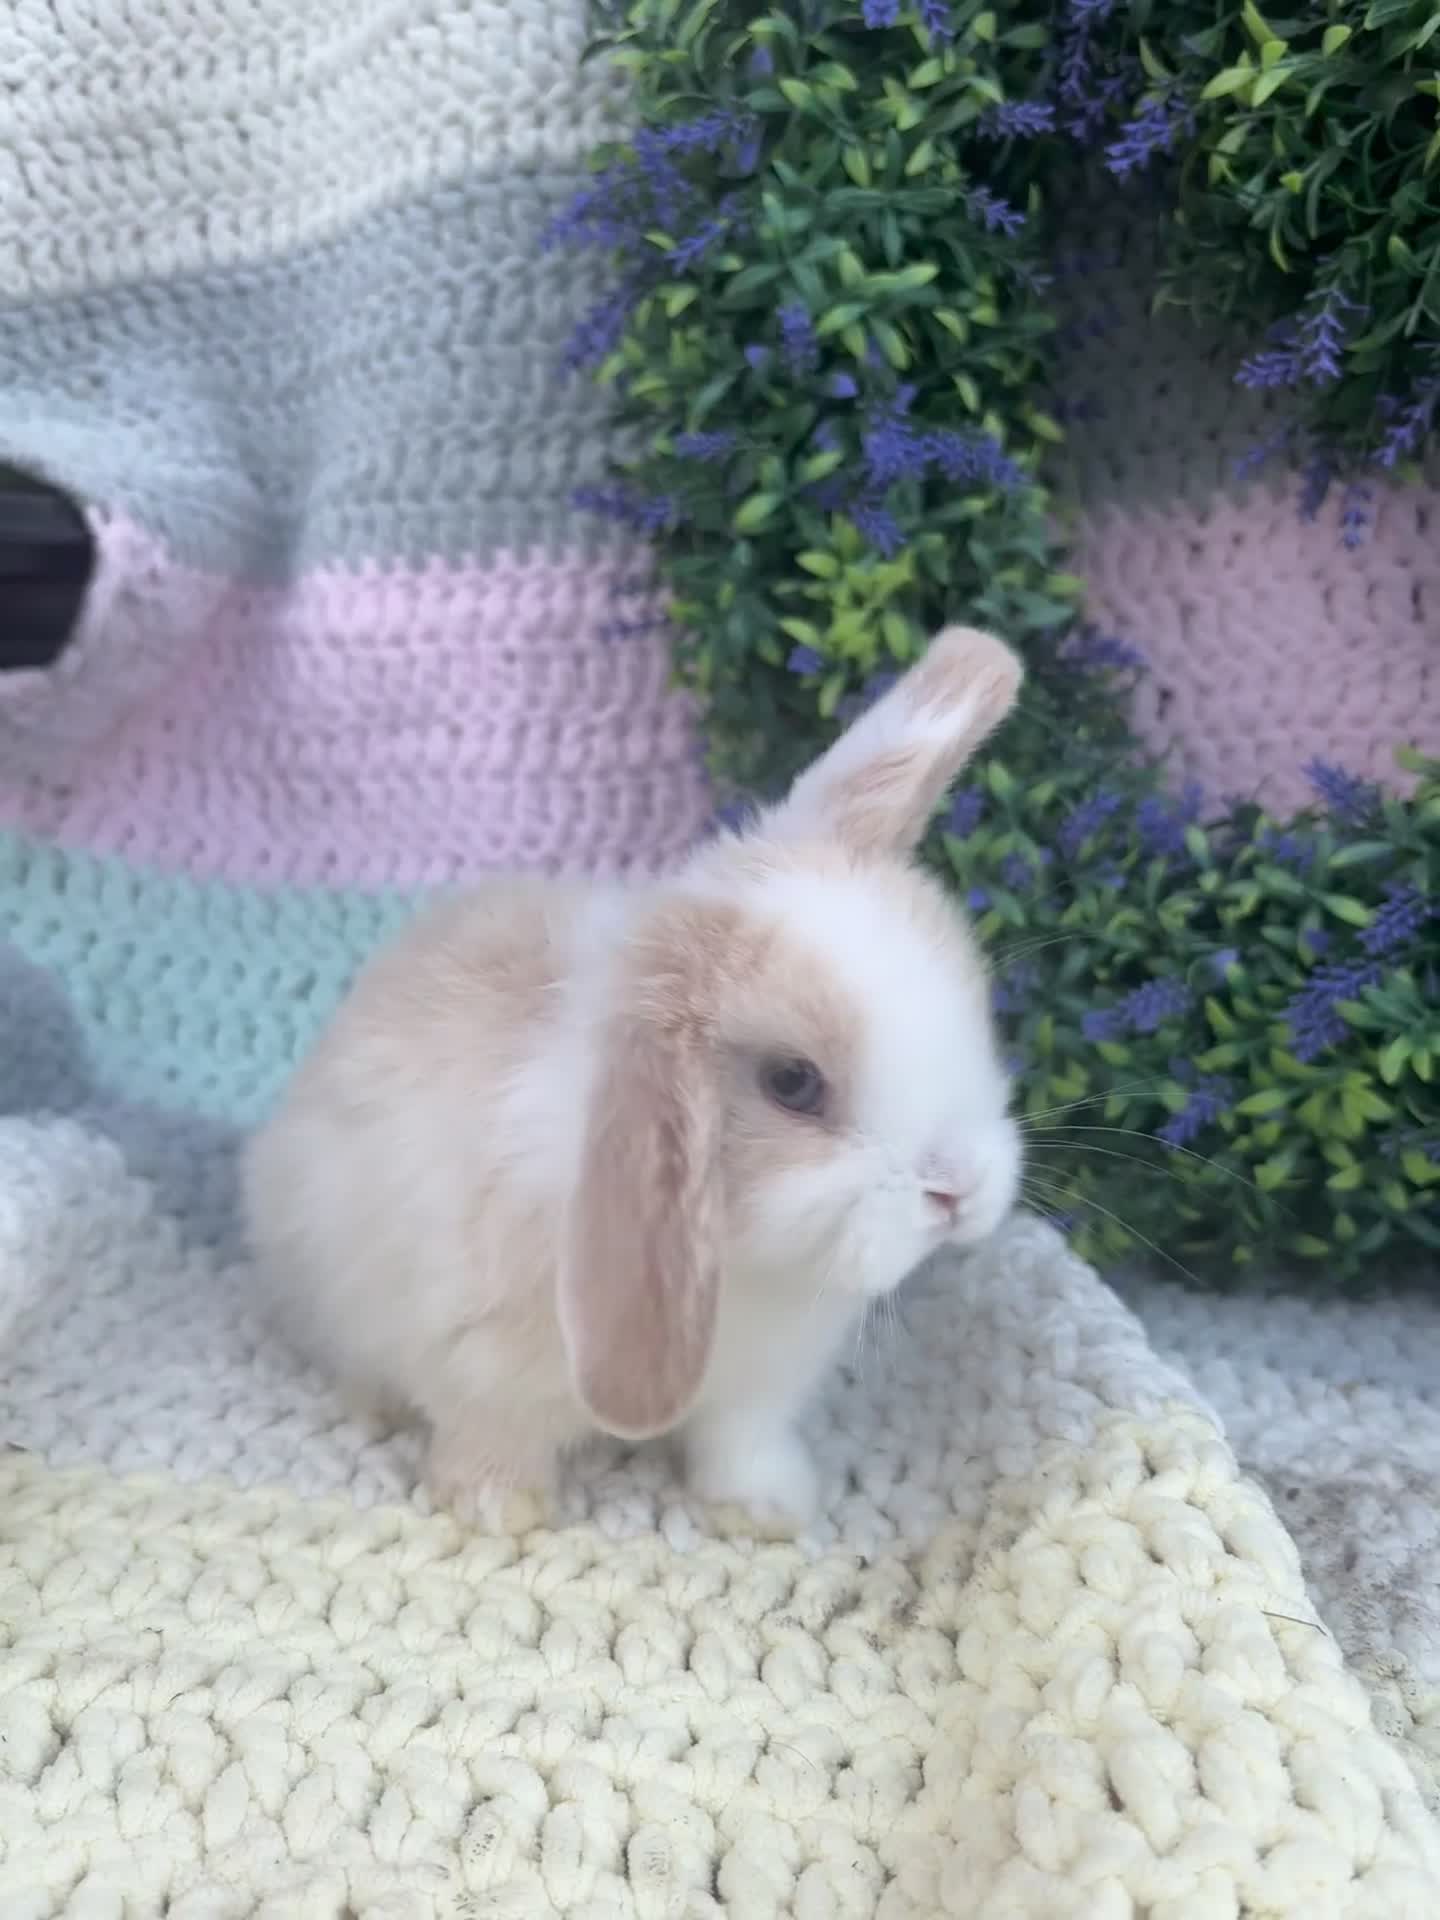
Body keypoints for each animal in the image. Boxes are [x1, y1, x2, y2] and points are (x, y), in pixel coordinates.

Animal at [241, 624, 1025, 1536]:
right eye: (793, 1083)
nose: (959, 1191)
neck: (749, 1263)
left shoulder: (759, 1392)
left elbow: (740, 1443)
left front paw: (769, 1509)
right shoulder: (478, 1363)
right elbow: (491, 1434)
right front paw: (500, 1511)